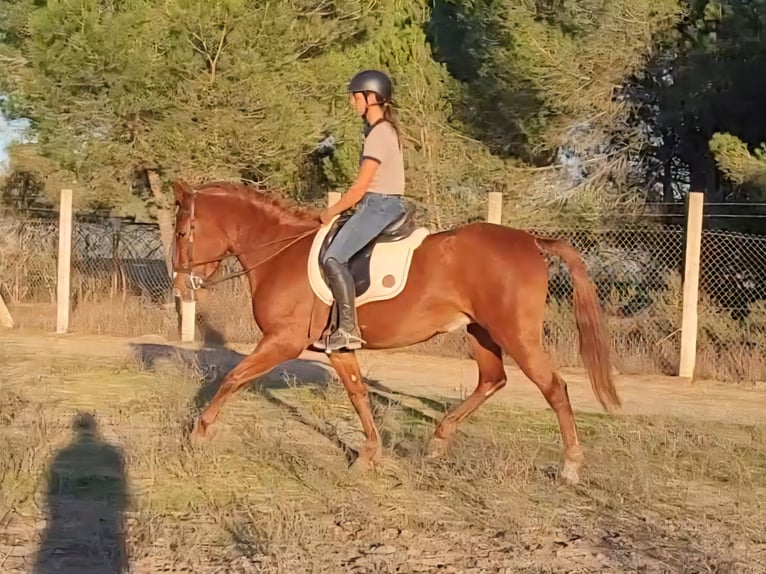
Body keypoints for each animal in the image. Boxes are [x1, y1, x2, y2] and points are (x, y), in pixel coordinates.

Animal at [170, 179, 621, 485]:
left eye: (181, 232)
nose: (179, 286)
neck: (282, 252)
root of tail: (530, 240)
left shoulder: (283, 340)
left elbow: (234, 377)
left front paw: (199, 432)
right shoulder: (338, 348)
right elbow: (358, 395)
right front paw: (369, 455)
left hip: (517, 335)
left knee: (554, 389)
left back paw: (570, 466)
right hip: (482, 333)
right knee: (493, 380)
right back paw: (438, 442)